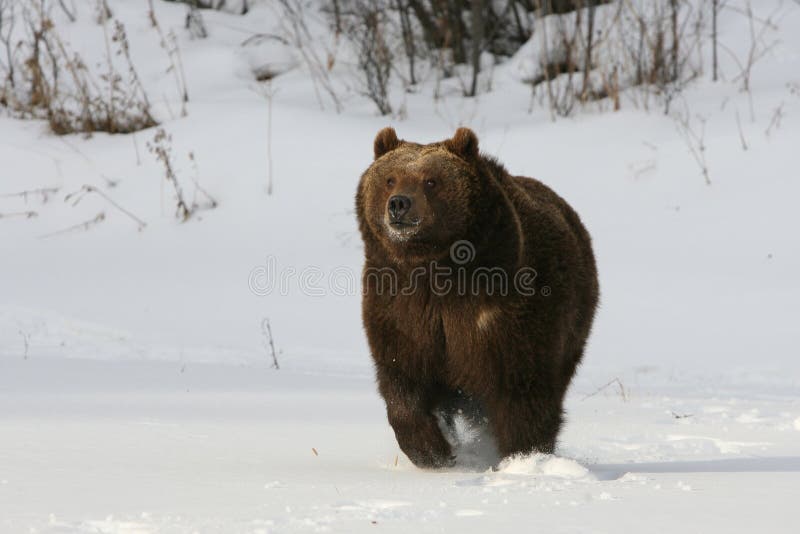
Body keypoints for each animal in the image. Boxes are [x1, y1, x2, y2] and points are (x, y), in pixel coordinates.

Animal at [358, 127, 600, 472]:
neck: (437, 269)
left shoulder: (506, 310)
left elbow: (522, 388)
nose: (399, 204)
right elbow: (403, 375)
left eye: (431, 180)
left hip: (574, 322)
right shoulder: (400, 308)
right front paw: (432, 450)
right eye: (390, 178)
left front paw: (523, 456)